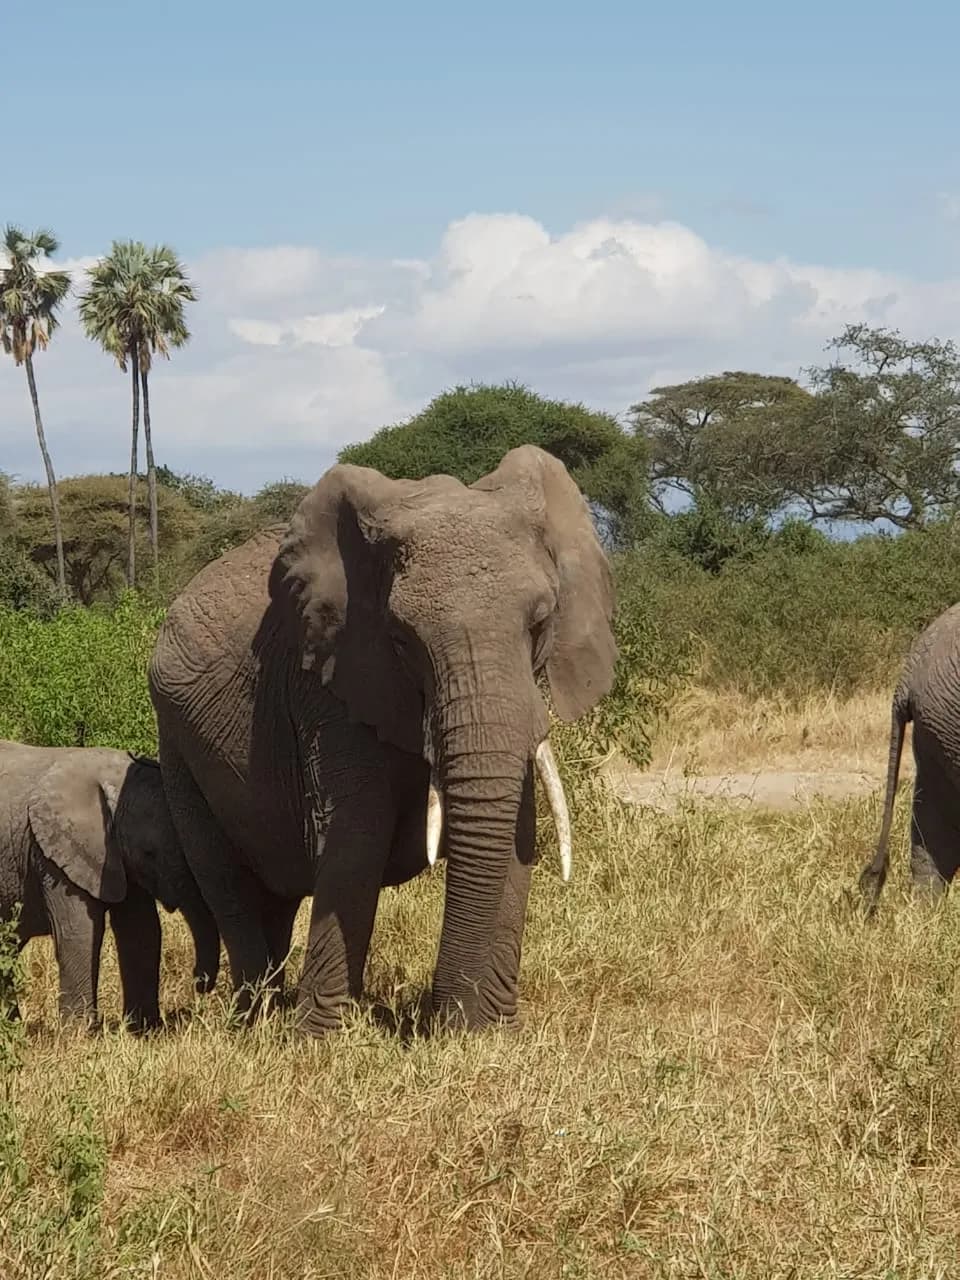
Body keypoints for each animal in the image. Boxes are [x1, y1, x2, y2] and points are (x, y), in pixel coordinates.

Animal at [0, 740, 221, 1030]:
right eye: (150, 853)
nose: (199, 984)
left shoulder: (118, 859)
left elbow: (141, 930)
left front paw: (145, 1030)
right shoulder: (54, 856)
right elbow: (79, 932)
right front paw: (79, 1033)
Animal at [148, 444, 617, 1034]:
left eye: (540, 623)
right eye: (400, 639)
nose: (441, 1018)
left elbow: (518, 829)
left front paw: (492, 1032)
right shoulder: (325, 676)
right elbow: (357, 829)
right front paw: (321, 1039)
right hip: (176, 746)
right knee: (227, 884)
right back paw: (258, 1021)